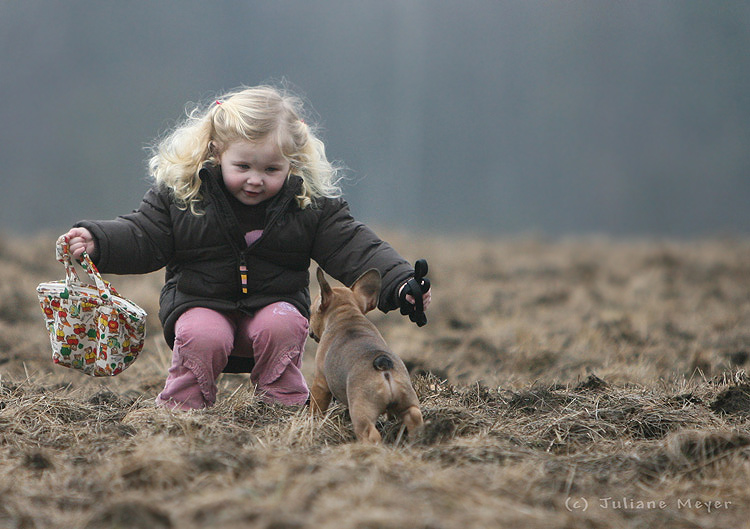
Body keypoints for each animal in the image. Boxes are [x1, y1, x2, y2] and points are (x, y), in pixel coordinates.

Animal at [306, 266, 424, 444]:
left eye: (311, 311)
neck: (346, 313)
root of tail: (383, 364)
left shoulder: (320, 381)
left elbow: (316, 406)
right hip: (407, 398)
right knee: (414, 416)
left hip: (362, 412)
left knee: (370, 433)